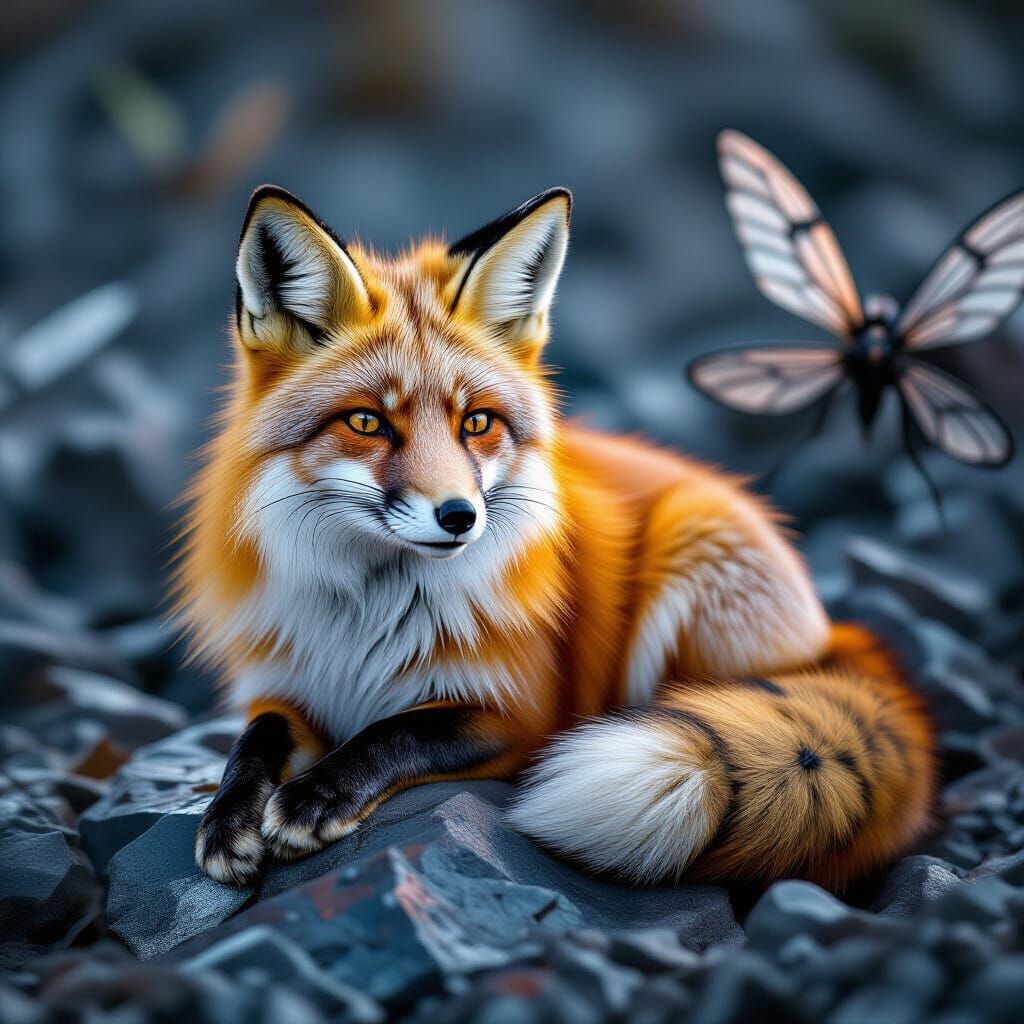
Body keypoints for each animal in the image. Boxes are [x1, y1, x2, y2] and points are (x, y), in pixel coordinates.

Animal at [180, 183, 936, 892]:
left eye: (476, 423)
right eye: (367, 422)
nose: (459, 515)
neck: (364, 624)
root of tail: (831, 633)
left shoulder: (523, 714)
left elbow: (396, 732)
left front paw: (316, 796)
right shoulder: (287, 685)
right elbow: (254, 740)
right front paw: (227, 817)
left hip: (690, 554)